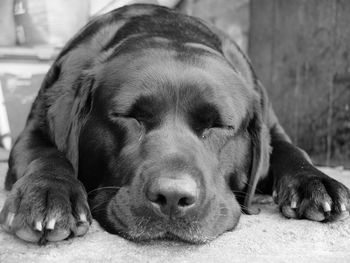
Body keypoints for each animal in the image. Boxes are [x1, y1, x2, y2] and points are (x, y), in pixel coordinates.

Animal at [0, 3, 350, 244]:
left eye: (219, 126)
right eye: (129, 117)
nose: (172, 197)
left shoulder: (272, 127)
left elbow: (291, 149)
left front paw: (315, 181)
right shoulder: (33, 130)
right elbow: (47, 154)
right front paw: (48, 193)